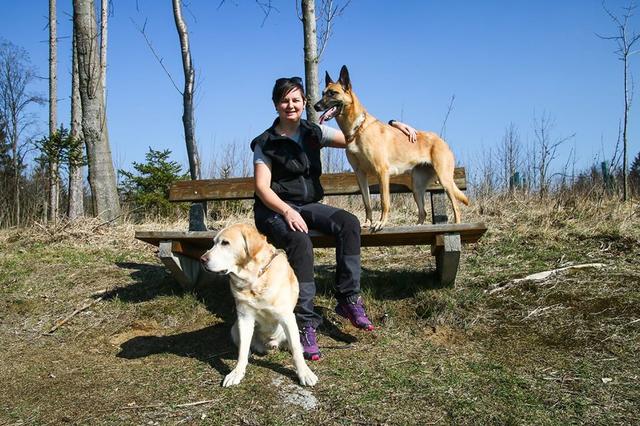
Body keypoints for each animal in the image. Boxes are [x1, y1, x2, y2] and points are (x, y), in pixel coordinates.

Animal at [312, 65, 468, 230]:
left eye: (332, 93)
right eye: (323, 93)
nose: (315, 106)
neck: (358, 129)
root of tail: (441, 140)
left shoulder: (382, 172)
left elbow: (384, 201)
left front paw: (381, 222)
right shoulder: (360, 174)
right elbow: (367, 202)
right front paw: (367, 222)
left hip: (445, 180)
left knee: (456, 207)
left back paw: (457, 225)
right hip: (417, 186)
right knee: (423, 212)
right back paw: (418, 226)